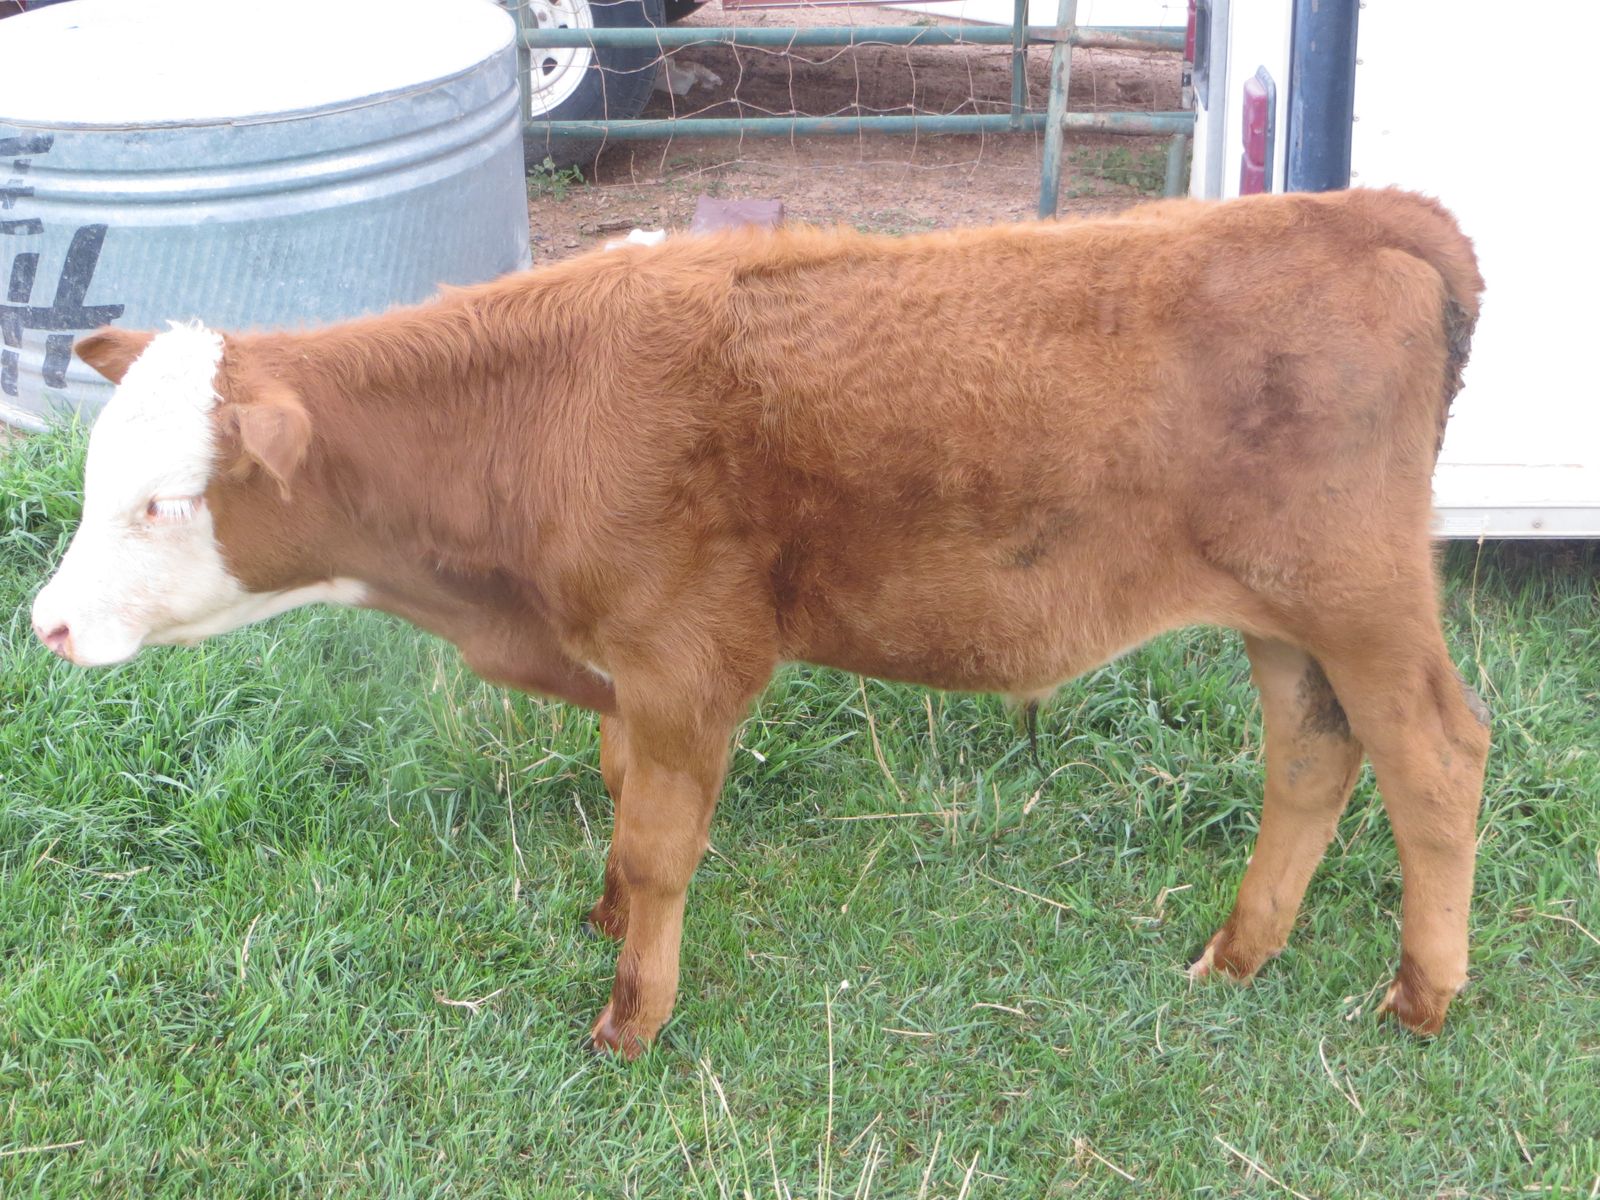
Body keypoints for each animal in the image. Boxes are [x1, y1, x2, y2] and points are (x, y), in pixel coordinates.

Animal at [31, 188, 1489, 1057]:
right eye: (101, 479)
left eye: (166, 502)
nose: (44, 626)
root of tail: (1361, 210)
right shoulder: (625, 664)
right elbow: (621, 791)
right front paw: (606, 917)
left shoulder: (689, 658)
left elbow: (663, 839)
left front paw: (631, 1018)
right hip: (1284, 615)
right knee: (1312, 753)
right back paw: (1238, 955)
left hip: (1360, 595)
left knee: (1432, 756)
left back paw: (1423, 994)